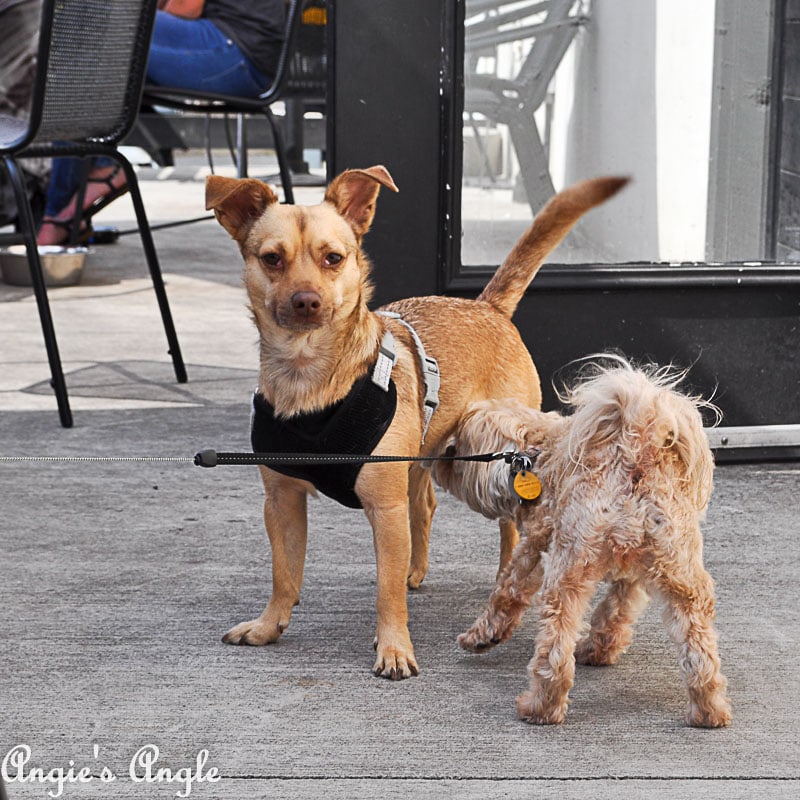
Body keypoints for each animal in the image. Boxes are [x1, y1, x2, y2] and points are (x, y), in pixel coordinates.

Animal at [205, 166, 624, 680]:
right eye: (271, 259)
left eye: (333, 258)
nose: (305, 301)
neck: (310, 382)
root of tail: (487, 306)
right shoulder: (281, 502)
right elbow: (284, 573)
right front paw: (268, 626)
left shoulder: (384, 509)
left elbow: (385, 595)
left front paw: (394, 648)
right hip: (418, 457)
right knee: (424, 506)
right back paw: (414, 569)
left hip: (502, 460)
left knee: (509, 530)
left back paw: (501, 578)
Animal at [434, 360, 736, 728]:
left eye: (462, 441)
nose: (444, 455)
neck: (536, 455)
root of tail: (634, 453)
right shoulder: (631, 576)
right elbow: (616, 610)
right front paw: (601, 648)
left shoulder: (536, 543)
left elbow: (507, 592)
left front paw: (480, 636)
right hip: (682, 576)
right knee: (699, 649)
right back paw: (709, 708)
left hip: (568, 572)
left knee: (554, 652)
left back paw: (540, 707)